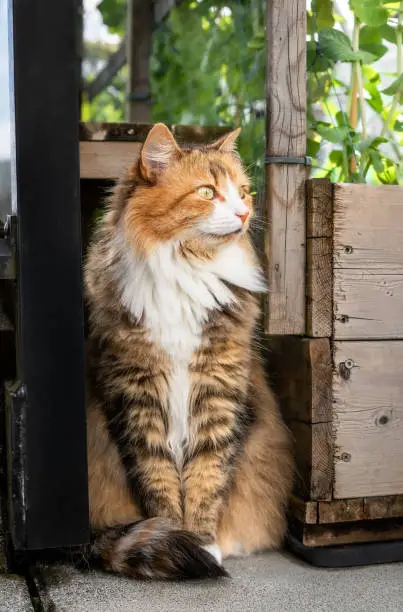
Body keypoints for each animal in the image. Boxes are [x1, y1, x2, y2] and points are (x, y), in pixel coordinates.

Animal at [85, 123, 294, 580]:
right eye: (206, 192)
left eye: (244, 192)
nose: (244, 213)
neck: (187, 271)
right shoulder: (137, 398)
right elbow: (159, 481)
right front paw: (177, 538)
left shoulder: (219, 393)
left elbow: (206, 478)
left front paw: (203, 543)